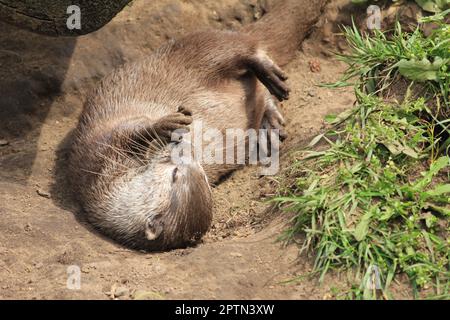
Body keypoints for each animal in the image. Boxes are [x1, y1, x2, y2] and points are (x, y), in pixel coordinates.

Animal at [67, 0, 326, 250]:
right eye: (179, 173)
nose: (184, 146)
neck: (107, 182)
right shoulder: (99, 155)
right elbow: (129, 132)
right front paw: (167, 124)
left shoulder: (103, 155)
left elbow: (134, 132)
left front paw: (166, 124)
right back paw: (269, 125)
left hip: (198, 50)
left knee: (243, 47)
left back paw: (270, 92)